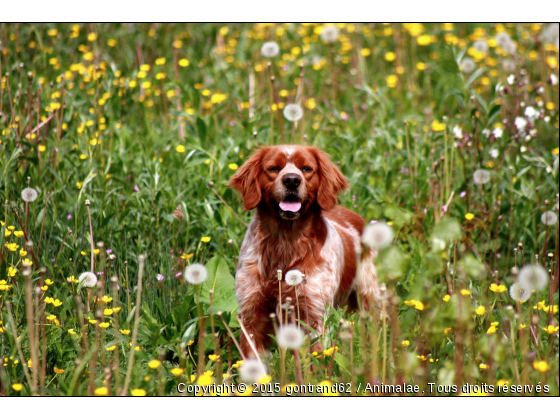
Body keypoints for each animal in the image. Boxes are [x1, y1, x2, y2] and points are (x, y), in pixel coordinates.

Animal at [229, 145, 380, 358]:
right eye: (273, 168)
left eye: (306, 168)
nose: (292, 179)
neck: (285, 243)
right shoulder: (251, 315)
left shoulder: (313, 316)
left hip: (370, 299)